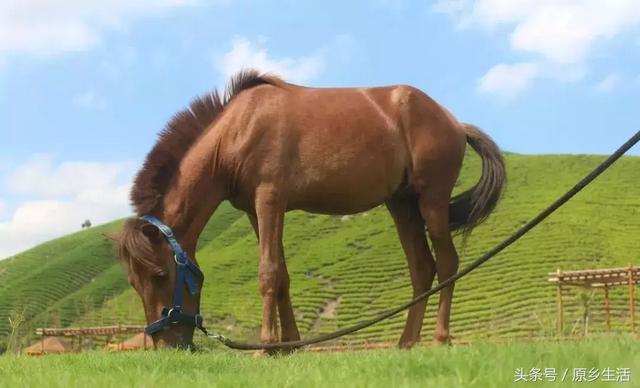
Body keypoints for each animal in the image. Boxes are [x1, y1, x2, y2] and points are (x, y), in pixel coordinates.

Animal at [114, 70, 504, 352]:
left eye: (160, 275)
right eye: (133, 282)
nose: (164, 345)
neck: (236, 132)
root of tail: (454, 122)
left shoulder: (270, 199)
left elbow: (268, 273)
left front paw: (265, 347)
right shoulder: (257, 211)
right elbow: (283, 276)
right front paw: (289, 345)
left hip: (432, 201)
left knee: (448, 263)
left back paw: (440, 337)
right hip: (402, 204)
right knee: (423, 268)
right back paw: (407, 341)